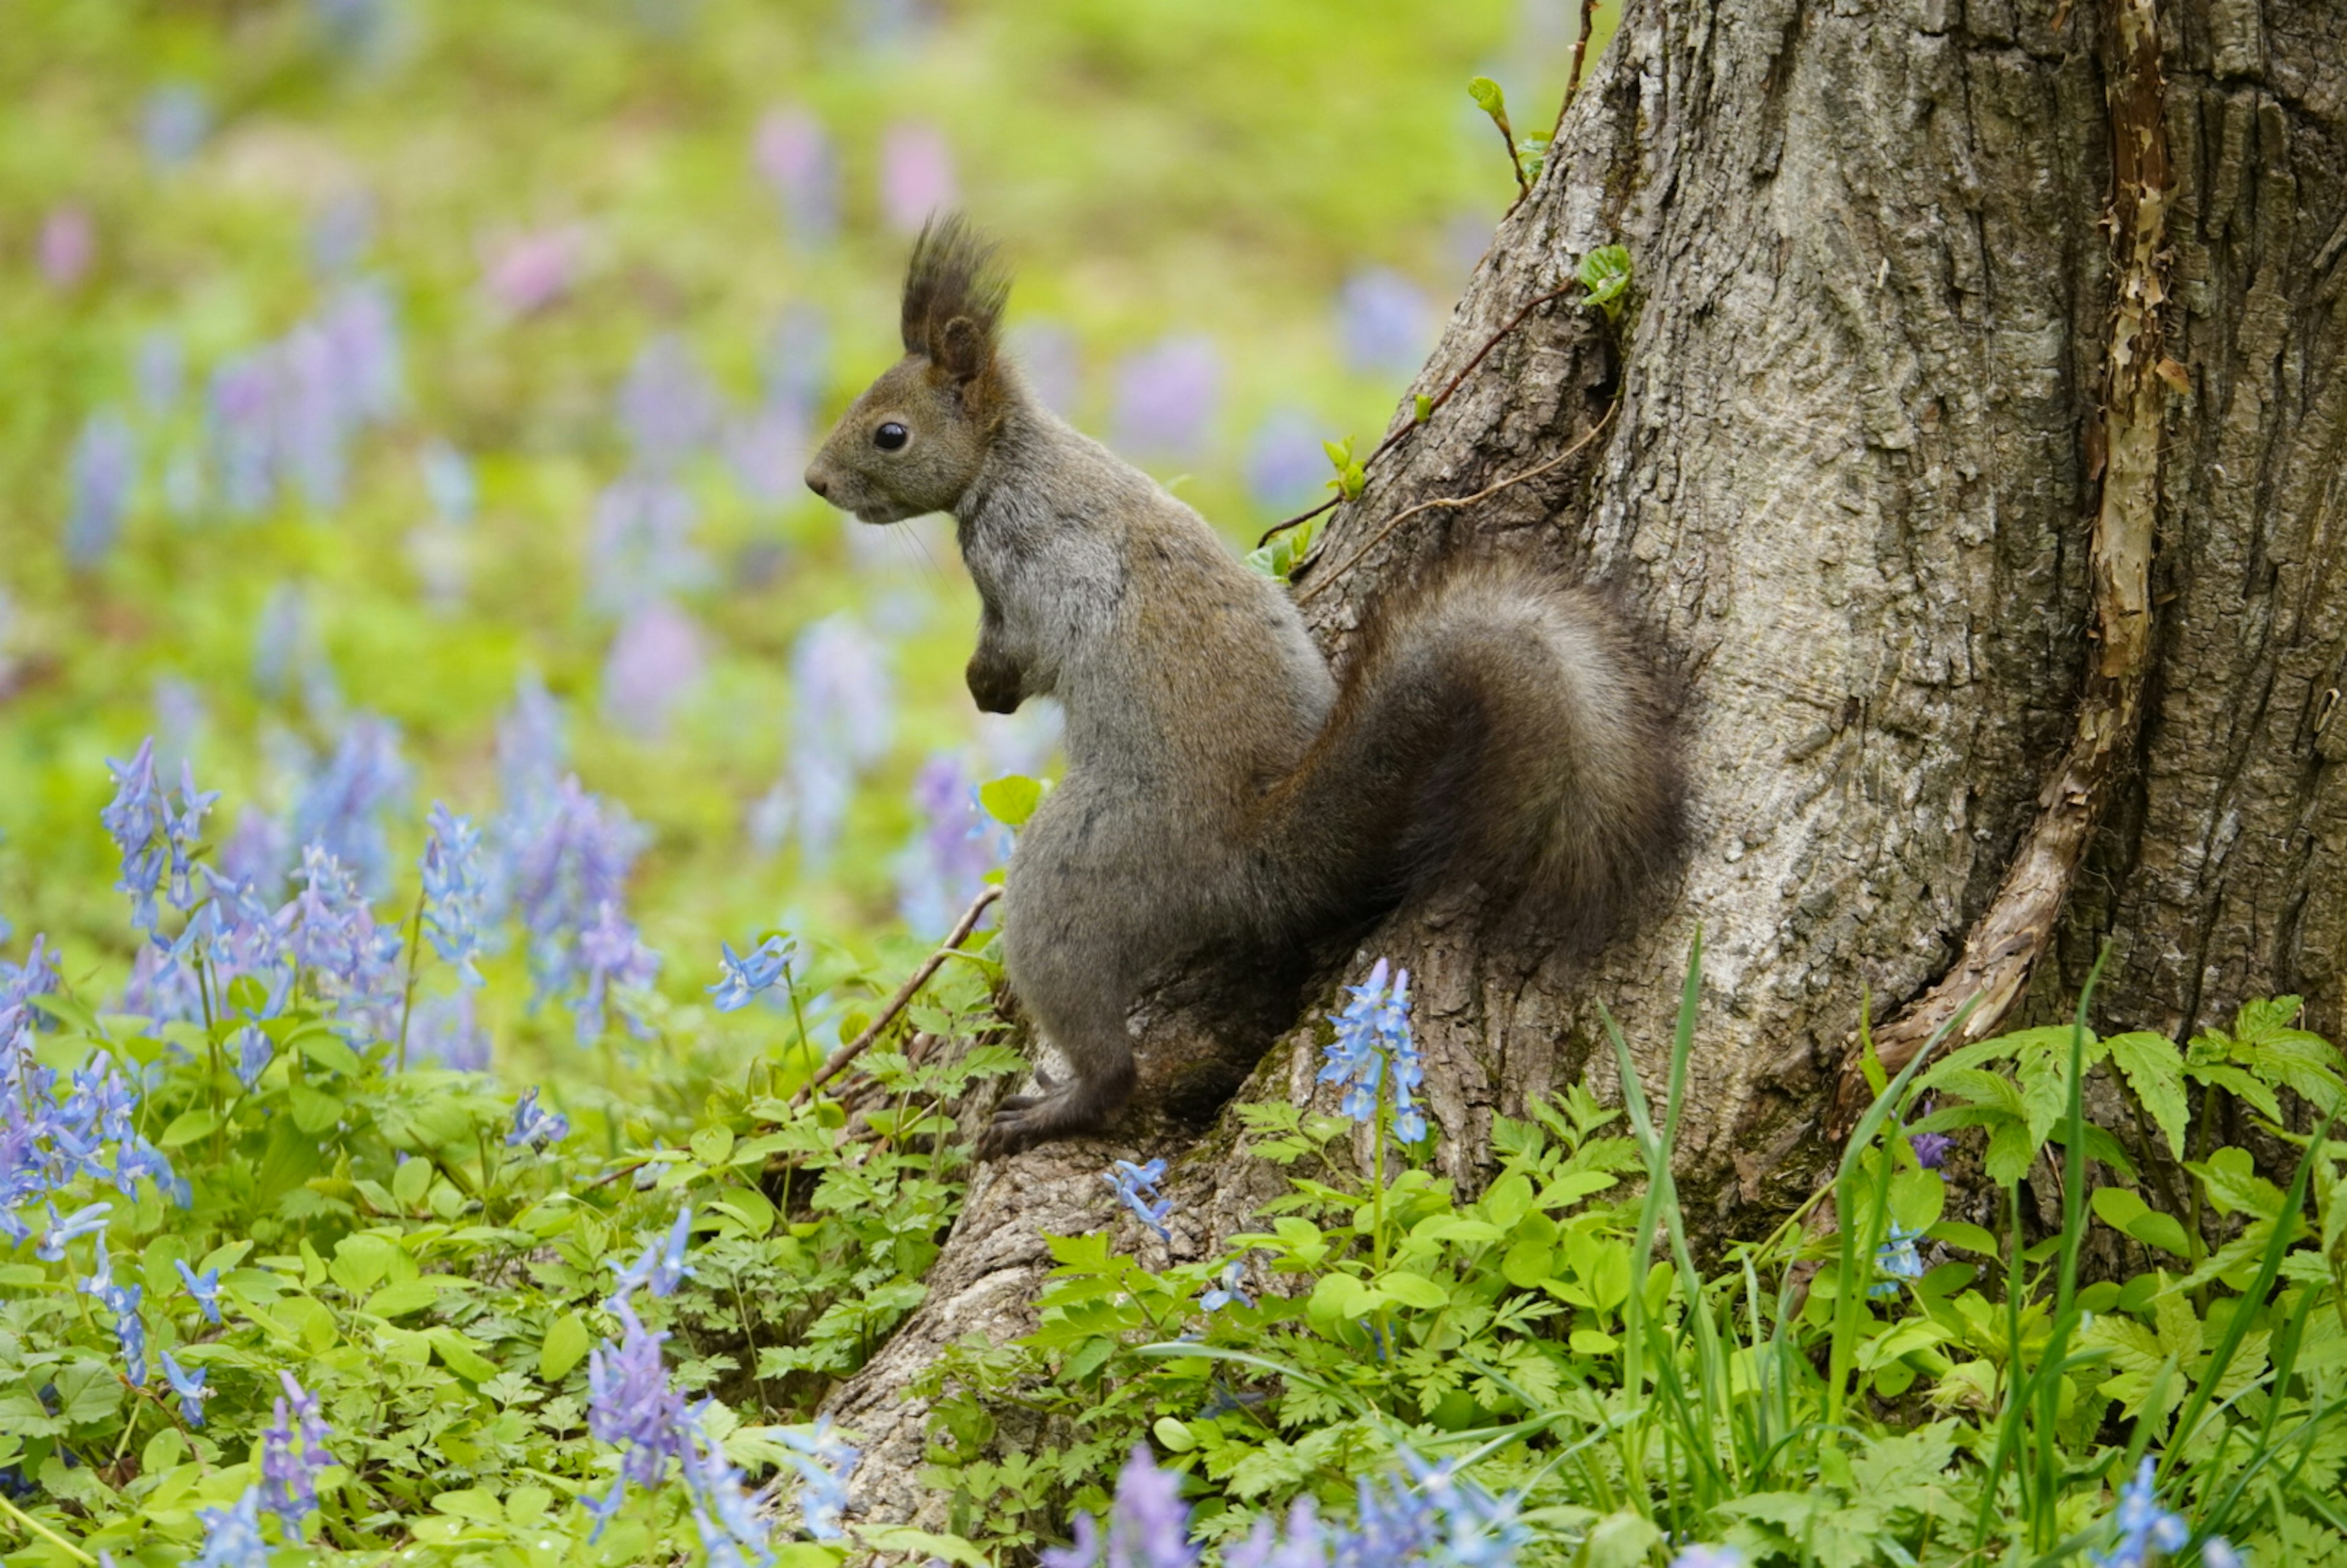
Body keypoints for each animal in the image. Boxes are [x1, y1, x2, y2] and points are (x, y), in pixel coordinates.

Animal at [812, 214, 1689, 1159]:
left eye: (890, 434)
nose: (815, 482)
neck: (1012, 458)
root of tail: (1247, 851)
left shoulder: (1031, 568)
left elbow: (1020, 652)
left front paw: (986, 688)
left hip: (1069, 884)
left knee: (1107, 1059)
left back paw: (1059, 1107)